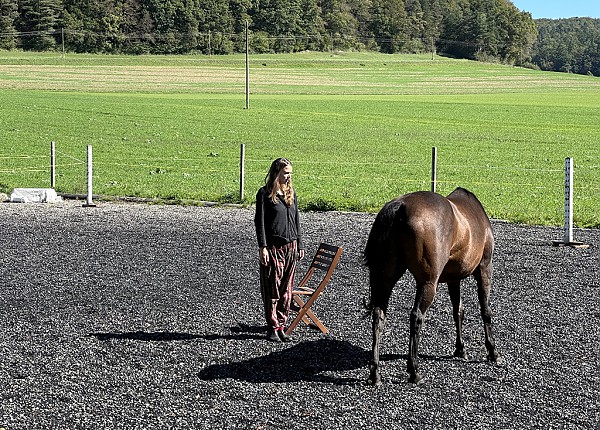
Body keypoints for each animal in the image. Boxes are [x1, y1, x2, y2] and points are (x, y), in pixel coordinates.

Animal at [366, 189, 496, 386]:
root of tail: (400, 207)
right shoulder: (484, 267)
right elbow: (485, 311)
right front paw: (492, 351)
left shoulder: (453, 279)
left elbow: (458, 311)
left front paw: (460, 349)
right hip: (428, 283)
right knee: (416, 316)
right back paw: (414, 371)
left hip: (386, 278)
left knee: (379, 315)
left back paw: (375, 373)